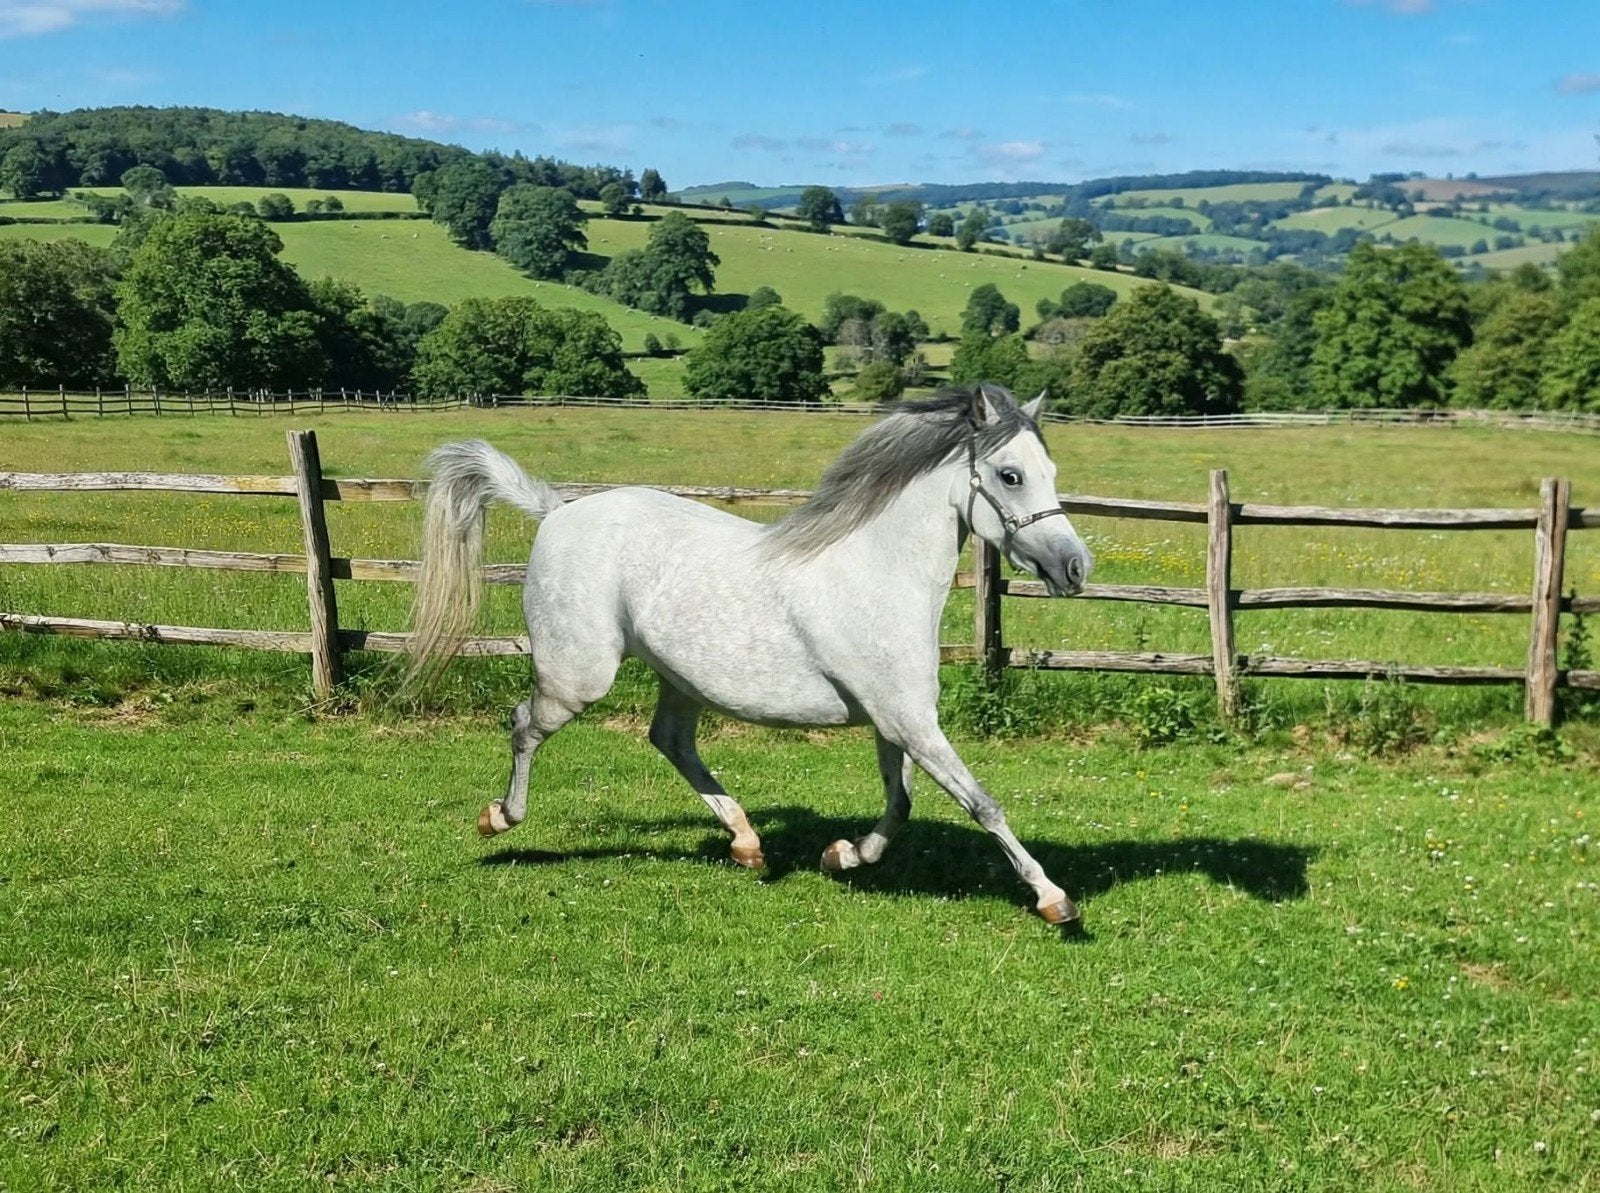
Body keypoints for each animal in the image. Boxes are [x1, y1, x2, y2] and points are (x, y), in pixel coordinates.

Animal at [406, 382, 1095, 925]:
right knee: (526, 724)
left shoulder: (895, 719)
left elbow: (900, 805)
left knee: (670, 741)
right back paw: (499, 817)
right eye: (1011, 475)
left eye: (1051, 472)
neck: (877, 575)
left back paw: (746, 842)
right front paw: (1054, 900)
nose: (1075, 567)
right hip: (578, 677)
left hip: (679, 678)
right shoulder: (910, 722)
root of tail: (556, 511)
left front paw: (841, 856)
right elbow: (982, 803)